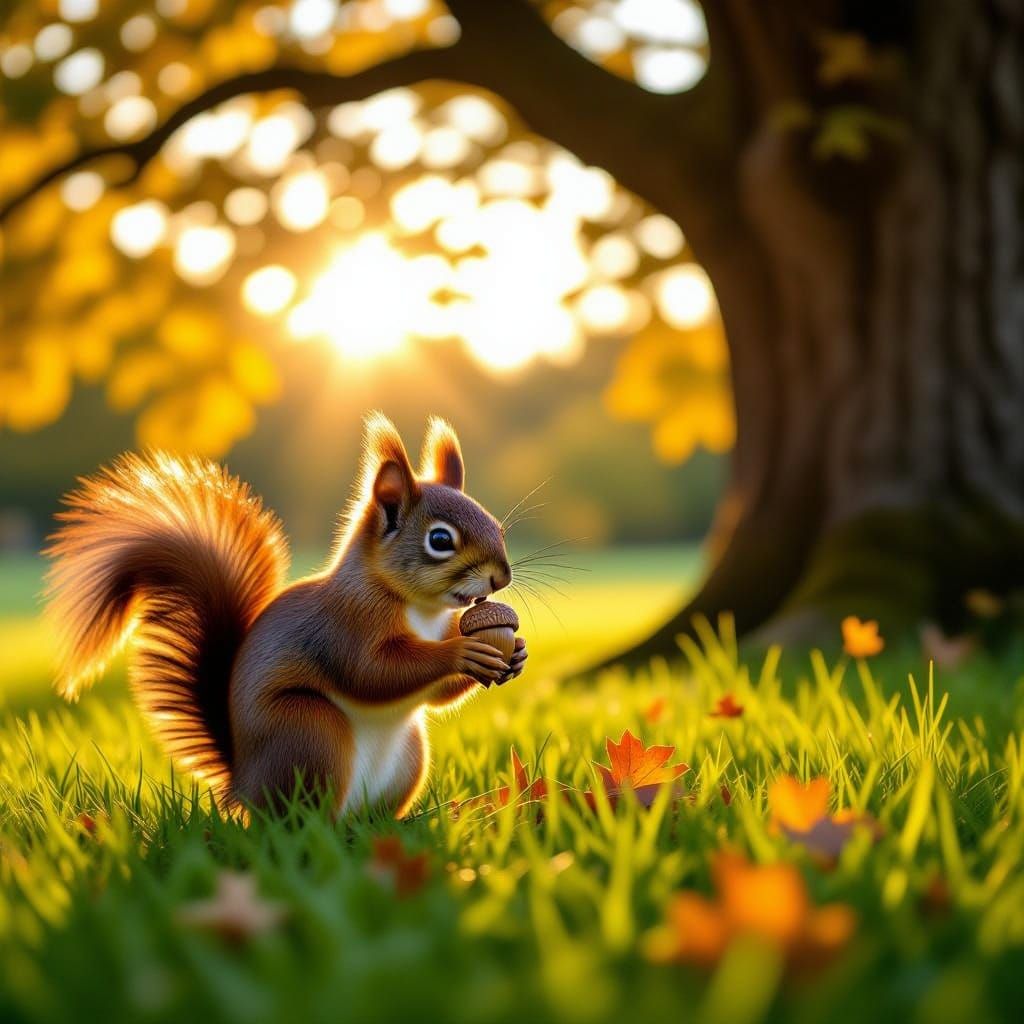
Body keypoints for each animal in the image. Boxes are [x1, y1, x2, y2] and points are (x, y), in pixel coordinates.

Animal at [45, 413, 527, 817]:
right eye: (440, 540)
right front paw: (462, 653)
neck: (420, 608)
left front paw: (515, 652)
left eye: (497, 526)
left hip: (408, 756)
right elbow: (372, 672)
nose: (501, 577)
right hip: (308, 732)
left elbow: (436, 695)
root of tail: (242, 787)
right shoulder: (345, 624)